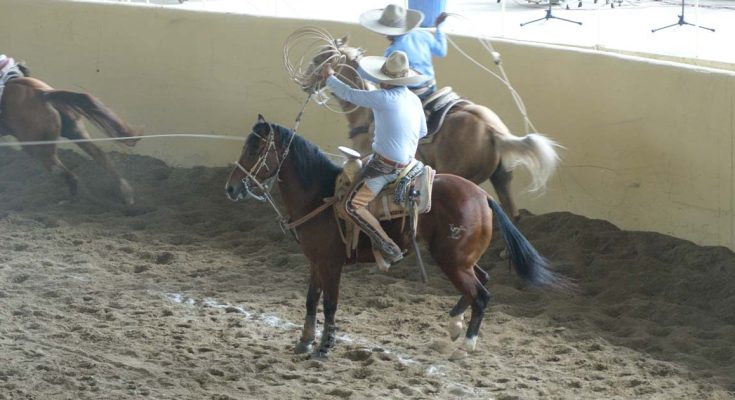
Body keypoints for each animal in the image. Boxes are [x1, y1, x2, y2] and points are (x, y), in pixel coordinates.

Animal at [0, 65, 140, 206]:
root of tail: (43, 94)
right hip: (75, 132)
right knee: (100, 156)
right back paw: (126, 194)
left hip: (39, 149)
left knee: (65, 172)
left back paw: (71, 201)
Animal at [223, 115, 564, 360]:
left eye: (255, 148)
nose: (231, 188)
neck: (319, 197)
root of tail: (483, 196)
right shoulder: (315, 262)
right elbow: (311, 300)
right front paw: (305, 342)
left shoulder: (331, 264)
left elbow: (330, 304)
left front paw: (324, 346)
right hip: (461, 258)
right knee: (482, 280)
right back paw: (454, 325)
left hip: (452, 260)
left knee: (481, 294)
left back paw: (465, 345)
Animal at [310, 37, 556, 219]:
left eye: (320, 58)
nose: (306, 82)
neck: (366, 110)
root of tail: (491, 130)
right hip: (501, 178)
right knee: (512, 213)